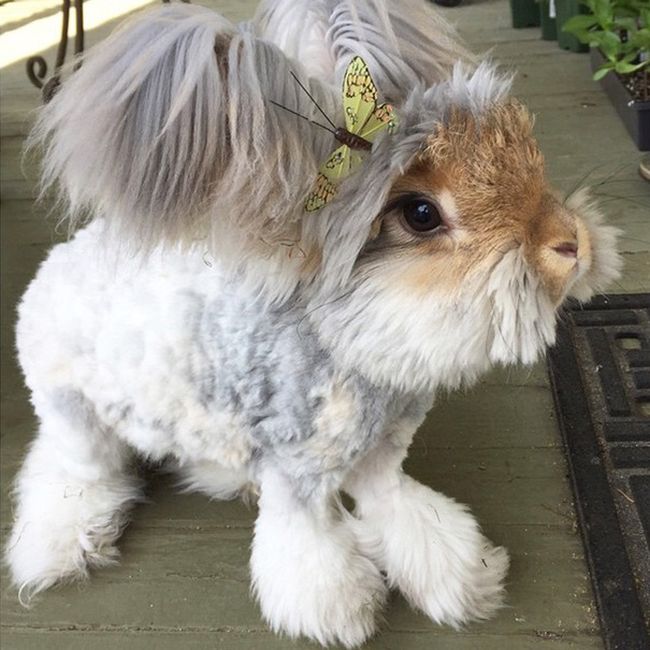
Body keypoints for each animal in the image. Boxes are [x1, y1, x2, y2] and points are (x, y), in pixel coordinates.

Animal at [5, 1, 620, 644]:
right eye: (420, 214)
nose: (571, 244)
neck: (350, 348)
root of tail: (54, 267)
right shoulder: (298, 474)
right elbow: (309, 547)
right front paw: (341, 615)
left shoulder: (381, 459)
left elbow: (406, 512)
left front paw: (465, 581)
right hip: (75, 414)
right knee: (67, 469)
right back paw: (55, 549)